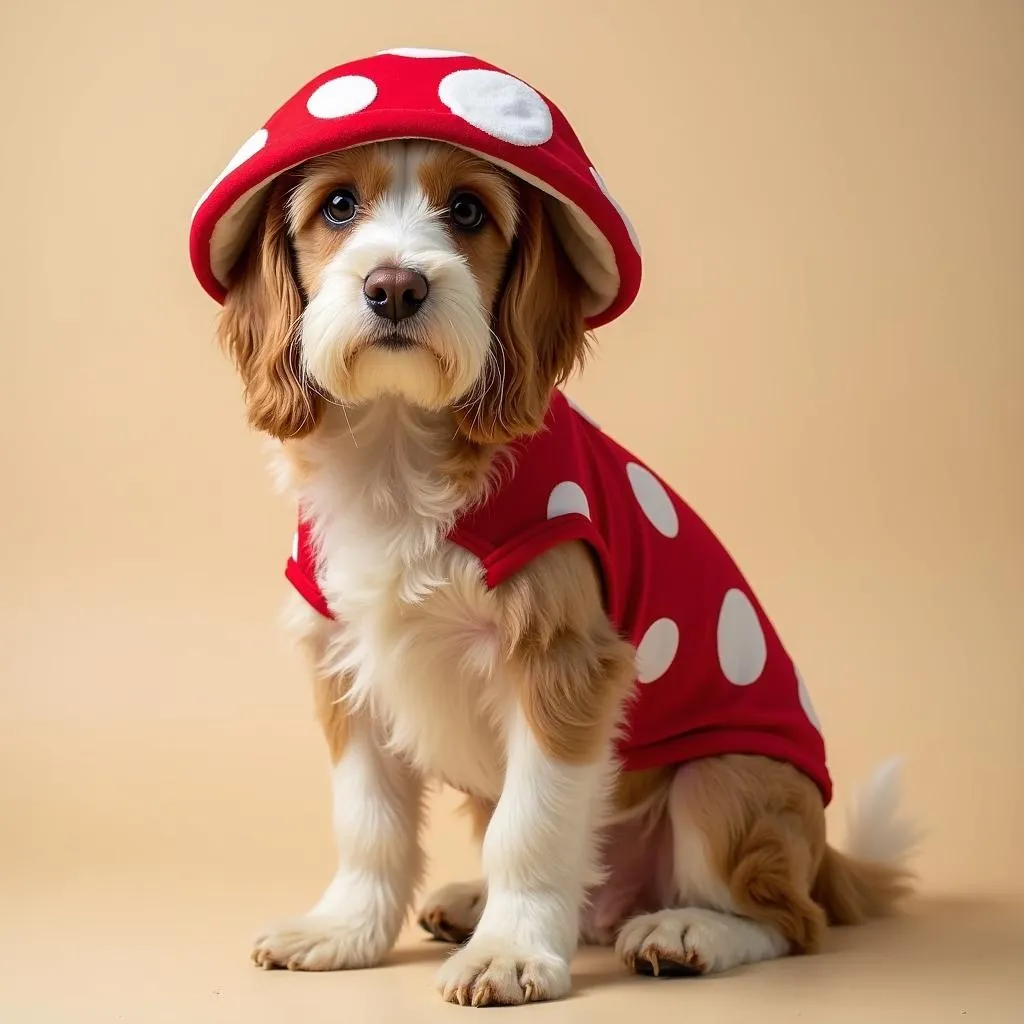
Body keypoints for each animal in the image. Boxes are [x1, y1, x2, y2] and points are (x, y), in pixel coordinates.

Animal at [203, 130, 917, 1007]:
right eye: (337, 206)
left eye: (467, 210)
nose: (396, 287)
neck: (400, 451)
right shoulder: (346, 663)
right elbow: (368, 822)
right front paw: (345, 930)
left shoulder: (561, 665)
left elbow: (531, 824)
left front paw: (509, 953)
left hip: (728, 780)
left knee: (790, 921)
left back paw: (688, 930)